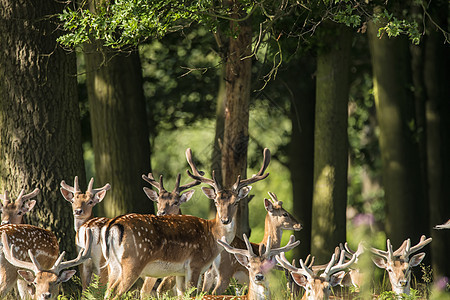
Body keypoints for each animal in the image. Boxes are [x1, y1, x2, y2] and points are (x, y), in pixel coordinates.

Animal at [102, 146, 270, 296]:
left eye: (235, 202)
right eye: (216, 201)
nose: (225, 219)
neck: (212, 236)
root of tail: (114, 225)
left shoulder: (180, 272)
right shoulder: (195, 265)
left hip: (113, 266)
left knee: (107, 291)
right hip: (133, 261)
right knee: (116, 293)